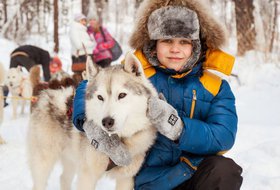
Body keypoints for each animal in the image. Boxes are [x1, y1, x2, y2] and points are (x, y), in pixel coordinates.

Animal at [28, 53, 159, 190]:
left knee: (63, 178)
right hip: (44, 161)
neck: (117, 142)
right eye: (100, 97)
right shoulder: (87, 176)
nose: (107, 122)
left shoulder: (126, 178)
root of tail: (46, 92)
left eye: (122, 95)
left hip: (71, 159)